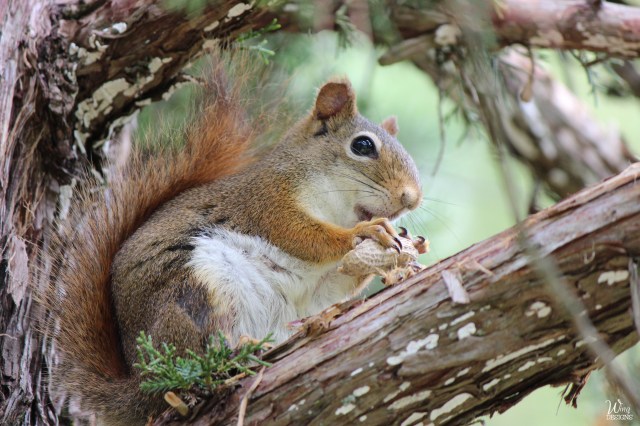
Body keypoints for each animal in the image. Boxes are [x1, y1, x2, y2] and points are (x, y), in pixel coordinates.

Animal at [46, 63, 422, 425]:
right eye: (363, 146)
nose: (412, 198)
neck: (334, 206)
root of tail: (141, 382)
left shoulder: (319, 281)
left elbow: (333, 284)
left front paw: (399, 259)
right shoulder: (266, 203)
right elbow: (304, 237)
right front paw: (365, 233)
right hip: (192, 287)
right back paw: (237, 351)